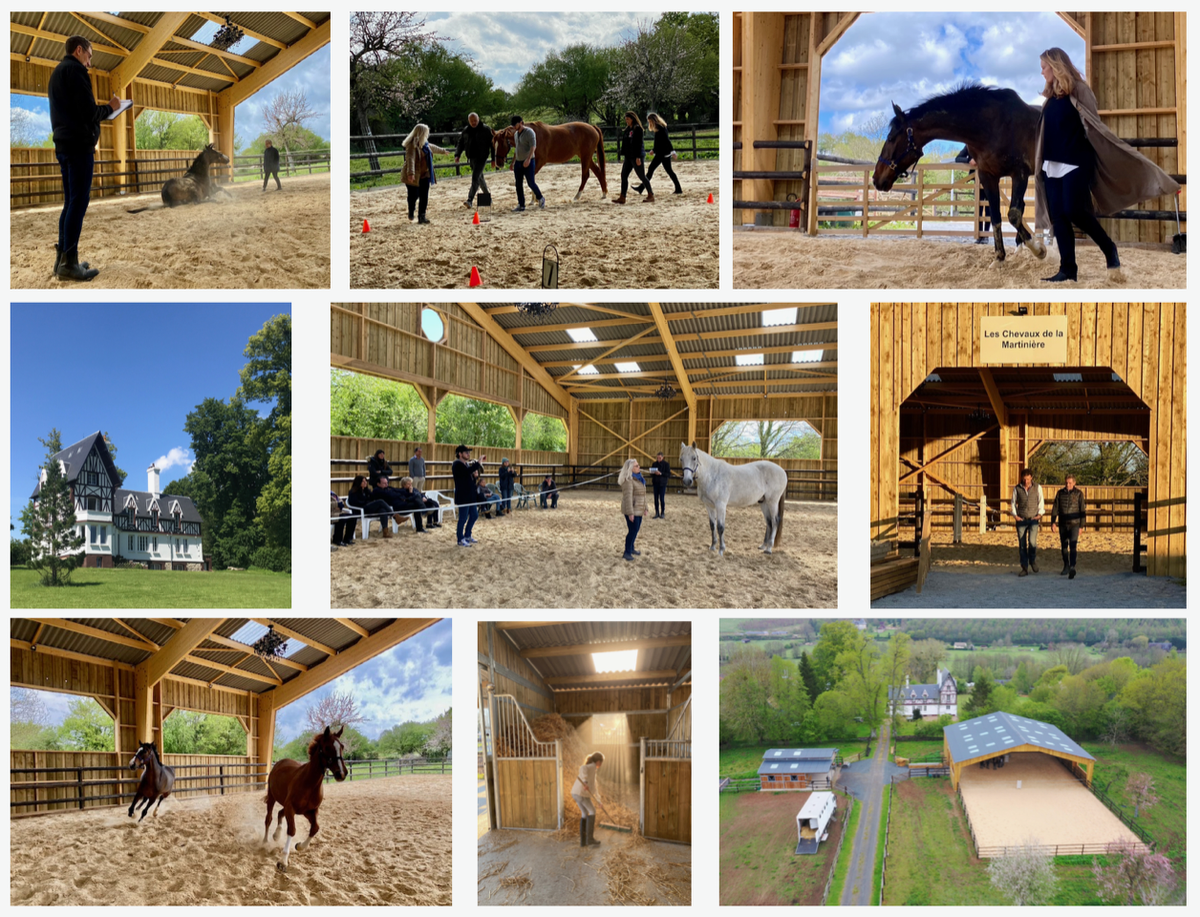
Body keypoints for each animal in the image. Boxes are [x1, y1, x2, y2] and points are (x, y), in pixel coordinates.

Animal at [263, 725, 348, 872]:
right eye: (327, 747)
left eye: (341, 746)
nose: (341, 774)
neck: (309, 783)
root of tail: (280, 762)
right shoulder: (291, 808)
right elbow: (292, 830)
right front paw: (283, 862)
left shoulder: (309, 811)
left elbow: (315, 828)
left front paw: (299, 846)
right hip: (272, 798)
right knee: (268, 818)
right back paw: (265, 841)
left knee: (280, 813)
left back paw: (276, 835)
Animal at [872, 84, 1046, 263]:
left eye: (891, 138)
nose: (876, 178)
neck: (992, 126)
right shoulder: (988, 176)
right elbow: (996, 216)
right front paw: (999, 257)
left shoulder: (1019, 173)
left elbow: (1013, 214)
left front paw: (1039, 249)